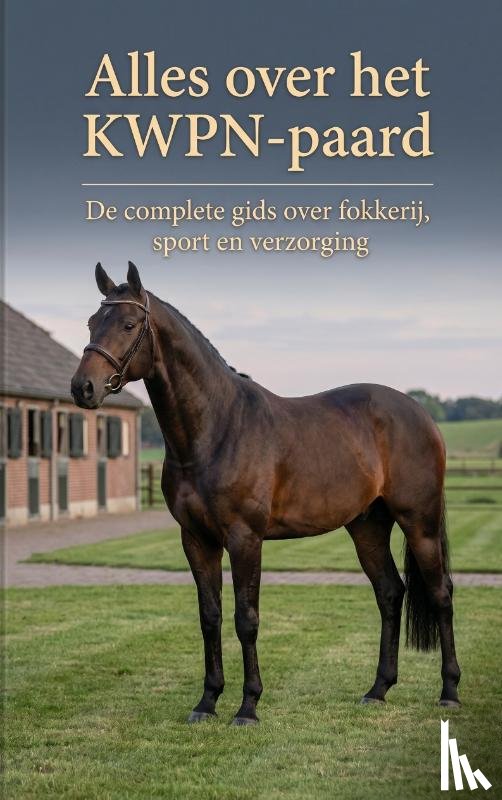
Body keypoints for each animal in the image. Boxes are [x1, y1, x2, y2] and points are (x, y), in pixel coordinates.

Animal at [71, 261, 461, 725]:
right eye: (92, 322)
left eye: (129, 324)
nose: (83, 388)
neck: (218, 428)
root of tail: (421, 414)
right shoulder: (196, 539)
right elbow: (210, 617)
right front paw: (207, 701)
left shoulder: (245, 538)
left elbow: (246, 619)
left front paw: (248, 706)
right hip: (368, 526)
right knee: (389, 592)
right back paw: (378, 689)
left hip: (419, 522)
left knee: (441, 594)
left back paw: (449, 691)